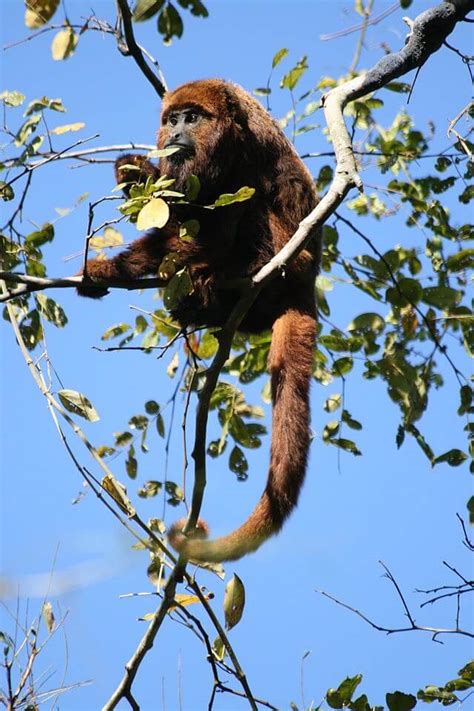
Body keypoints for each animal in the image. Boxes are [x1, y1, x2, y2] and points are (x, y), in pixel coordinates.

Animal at [79, 80, 320, 564]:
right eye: (171, 119)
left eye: (192, 118)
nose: (175, 132)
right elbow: (176, 213)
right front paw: (134, 177)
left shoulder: (247, 153)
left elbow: (219, 211)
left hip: (291, 261)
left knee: (250, 211)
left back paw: (228, 275)